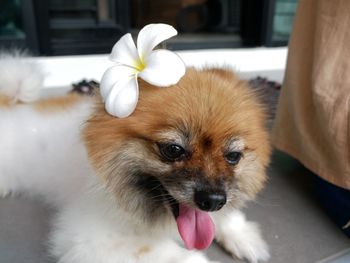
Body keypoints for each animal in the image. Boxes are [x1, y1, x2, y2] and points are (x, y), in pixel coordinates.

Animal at [0, 55, 270, 263]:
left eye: (233, 156)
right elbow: (168, 252)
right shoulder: (91, 238)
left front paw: (242, 235)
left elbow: (225, 217)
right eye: (173, 150)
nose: (213, 200)